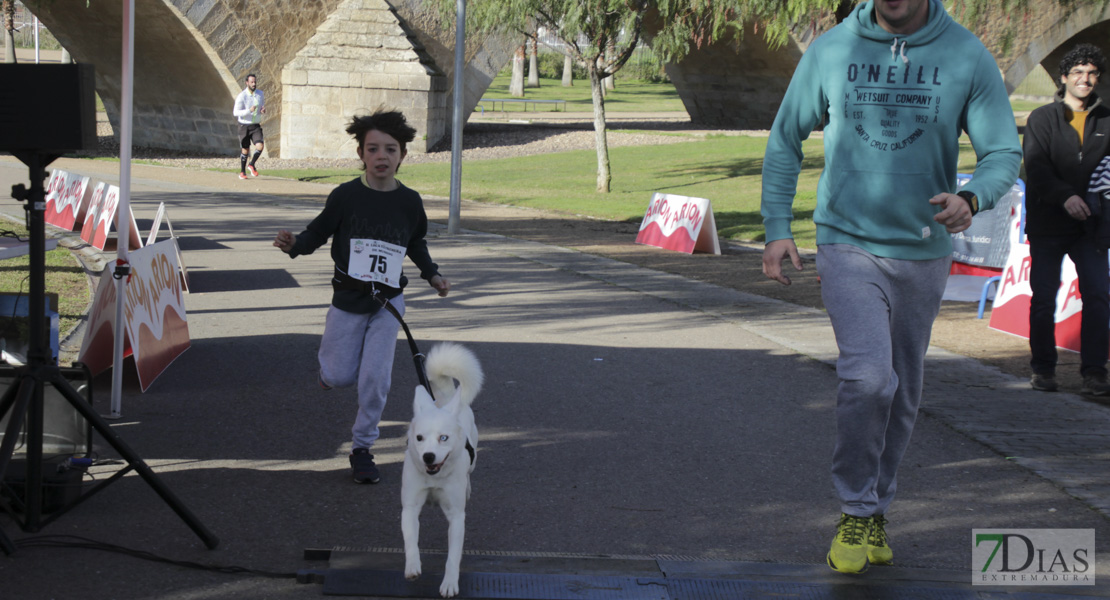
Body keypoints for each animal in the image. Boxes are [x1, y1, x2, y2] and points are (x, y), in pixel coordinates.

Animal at [401, 339, 483, 594]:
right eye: (419, 438)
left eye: (443, 438)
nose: (428, 457)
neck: (434, 477)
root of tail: (446, 398)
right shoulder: (410, 506)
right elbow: (411, 540)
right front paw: (413, 567)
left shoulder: (456, 516)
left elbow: (453, 557)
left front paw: (449, 583)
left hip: (473, 460)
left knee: (469, 473)